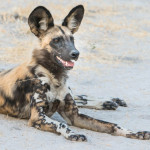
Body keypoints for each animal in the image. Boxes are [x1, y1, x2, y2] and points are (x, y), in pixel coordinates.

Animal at [0, 5, 149, 141]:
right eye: (56, 40)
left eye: (72, 39)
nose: (76, 54)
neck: (55, 77)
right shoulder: (37, 117)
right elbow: (62, 124)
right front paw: (73, 134)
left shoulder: (74, 115)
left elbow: (112, 125)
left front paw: (135, 133)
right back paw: (109, 102)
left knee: (81, 96)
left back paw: (110, 101)